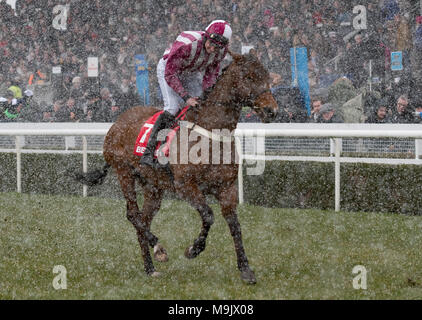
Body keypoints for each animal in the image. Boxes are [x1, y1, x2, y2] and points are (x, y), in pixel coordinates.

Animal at [75, 51, 280, 284]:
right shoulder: (186, 185)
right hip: (124, 173)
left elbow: (235, 225)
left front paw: (246, 269)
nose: (271, 111)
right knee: (133, 215)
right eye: (248, 77)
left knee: (143, 219)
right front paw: (193, 249)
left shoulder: (227, 187)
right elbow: (208, 215)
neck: (211, 133)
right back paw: (159, 249)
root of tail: (117, 122)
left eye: (267, 76)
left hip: (153, 186)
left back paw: (150, 267)